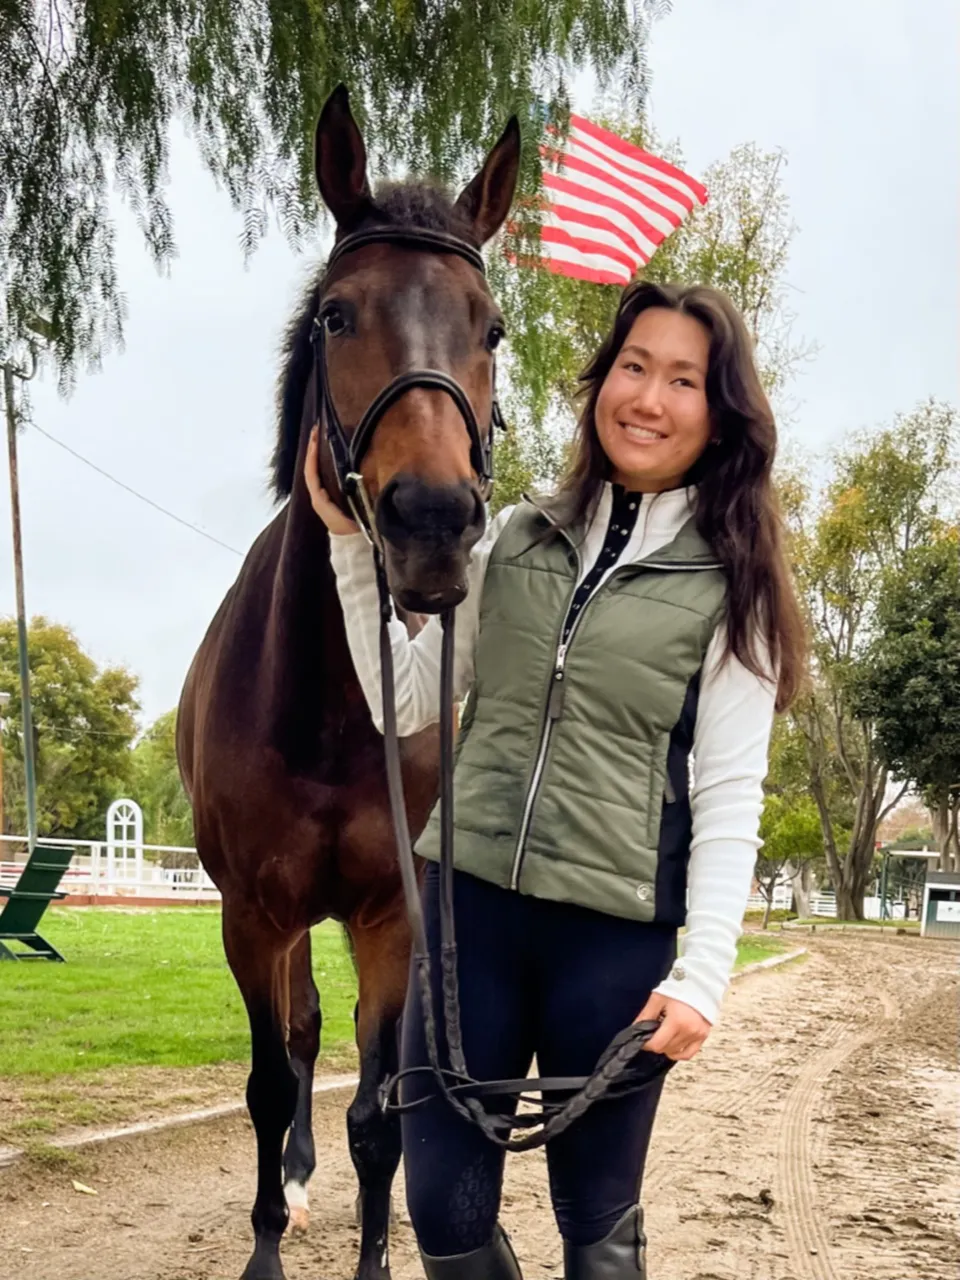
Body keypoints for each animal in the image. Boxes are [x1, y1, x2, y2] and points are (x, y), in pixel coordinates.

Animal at [172, 87, 519, 1280]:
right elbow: (270, 1086)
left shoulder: (387, 918)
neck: (330, 709)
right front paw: (267, 1247)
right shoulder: (252, 918)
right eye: (336, 315)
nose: (433, 521)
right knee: (296, 1038)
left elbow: (380, 1115)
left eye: (491, 327)